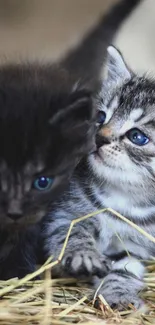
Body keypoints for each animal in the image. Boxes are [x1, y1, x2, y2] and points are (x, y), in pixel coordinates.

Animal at [42, 45, 155, 308]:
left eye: (137, 136)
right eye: (101, 117)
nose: (100, 137)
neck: (123, 197)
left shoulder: (137, 246)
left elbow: (126, 267)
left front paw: (119, 294)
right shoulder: (62, 212)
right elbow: (70, 231)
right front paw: (83, 254)